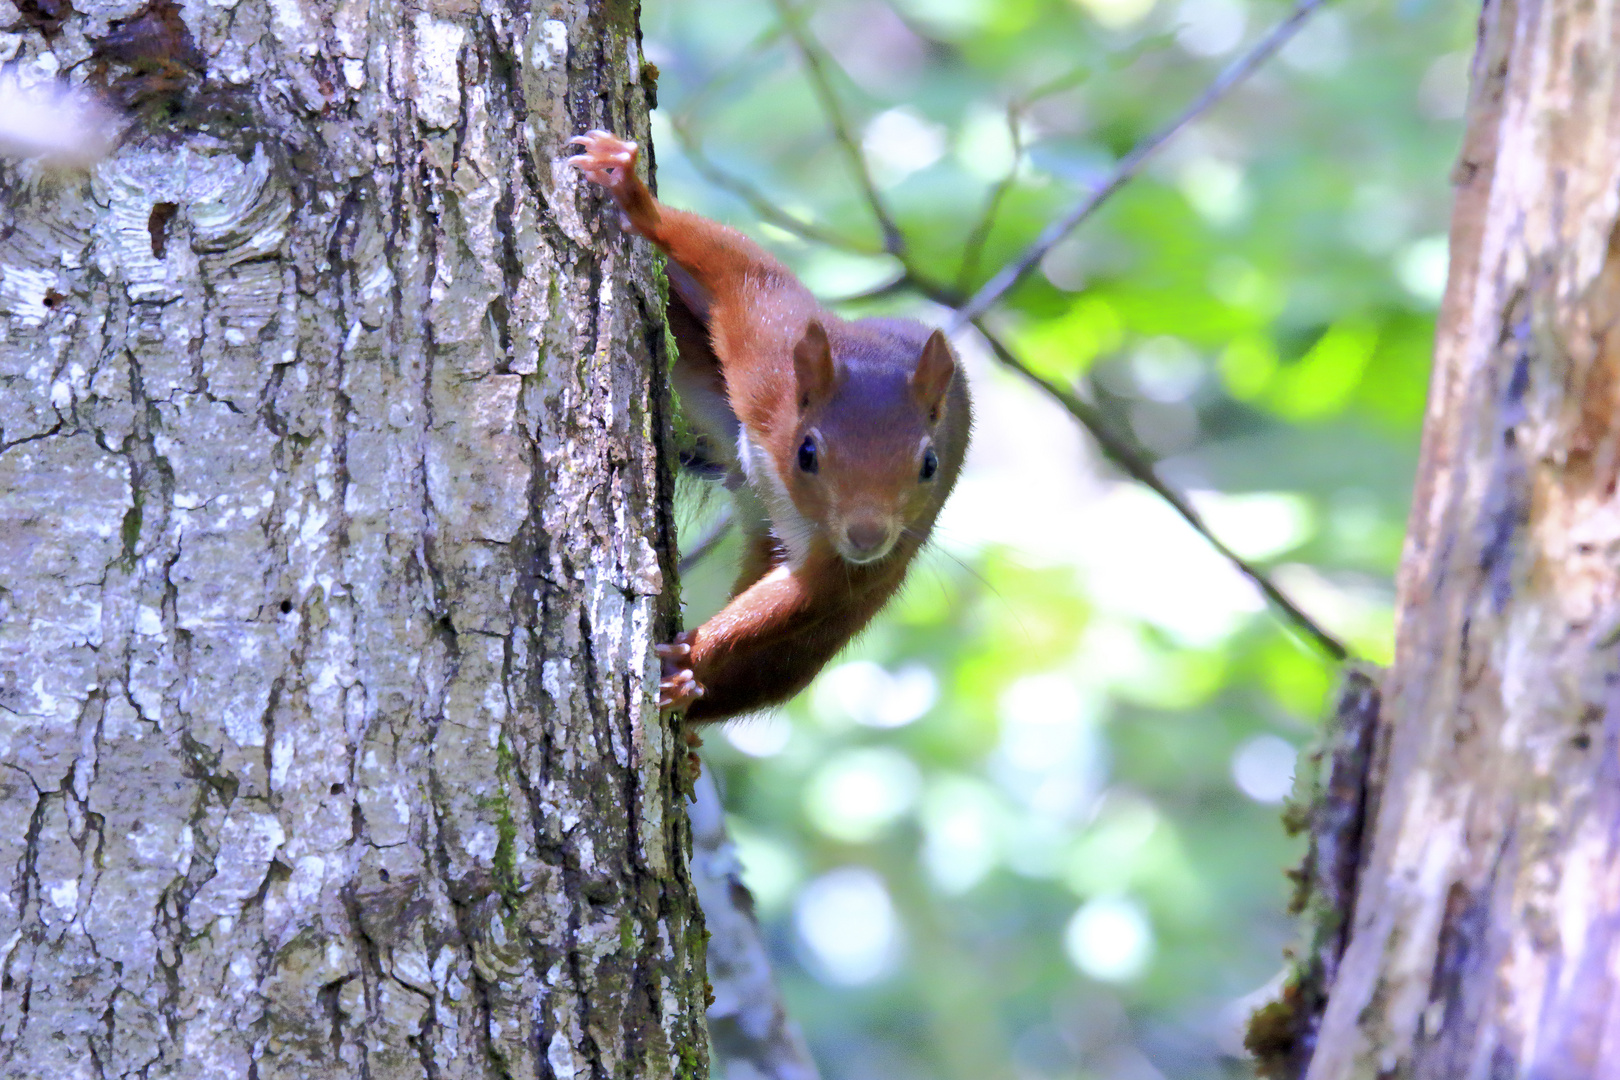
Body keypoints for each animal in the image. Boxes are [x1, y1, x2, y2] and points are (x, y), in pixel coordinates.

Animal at [573, 128, 972, 725]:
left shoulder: (847, 566)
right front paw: (635, 197)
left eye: (930, 465)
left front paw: (688, 663)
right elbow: (744, 270)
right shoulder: (766, 356)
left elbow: (794, 602)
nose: (868, 536)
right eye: (807, 453)